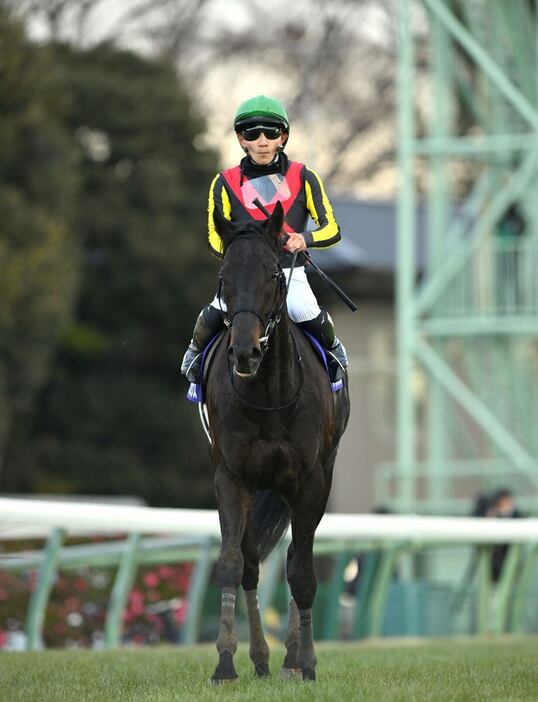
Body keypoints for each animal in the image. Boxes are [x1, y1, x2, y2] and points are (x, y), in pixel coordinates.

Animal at [204, 202, 348, 680]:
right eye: (224, 276)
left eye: (272, 273)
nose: (245, 352)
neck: (268, 393)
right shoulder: (231, 476)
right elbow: (233, 563)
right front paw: (226, 662)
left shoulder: (308, 480)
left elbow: (302, 572)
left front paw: (307, 665)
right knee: (252, 561)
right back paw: (265, 660)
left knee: (294, 560)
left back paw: (291, 658)